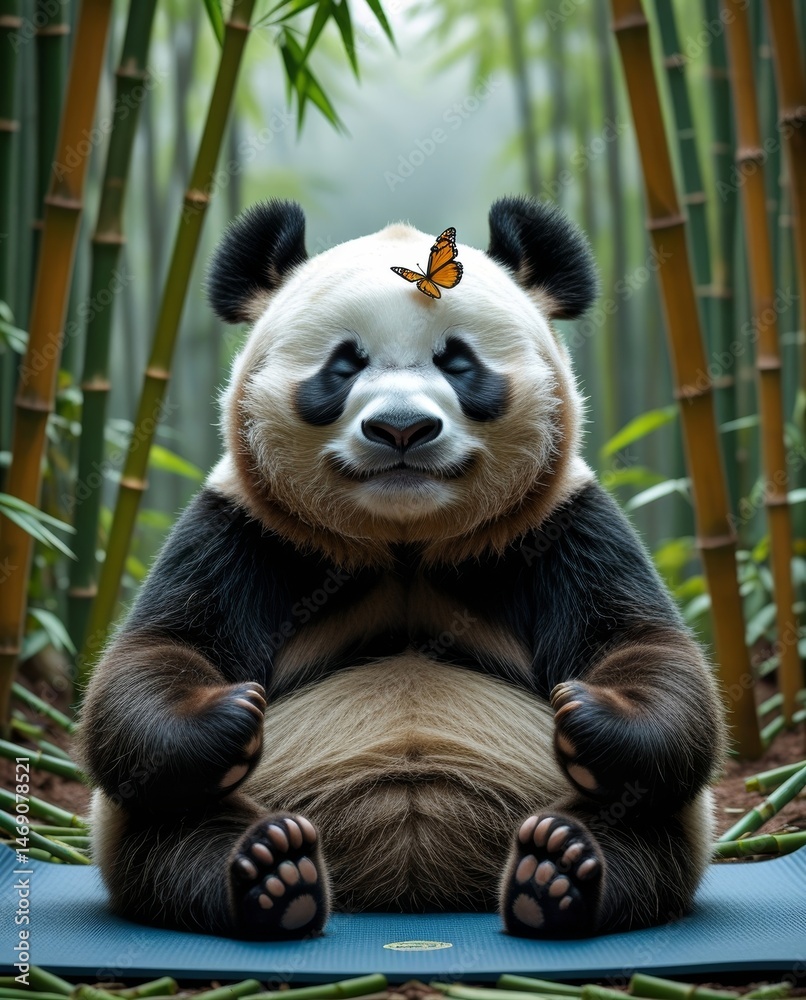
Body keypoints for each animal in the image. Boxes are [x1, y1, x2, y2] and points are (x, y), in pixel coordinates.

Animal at [77, 197, 725, 941]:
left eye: (459, 362)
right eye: (343, 365)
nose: (402, 430)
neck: (405, 541)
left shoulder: (560, 527)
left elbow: (648, 652)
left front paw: (589, 716)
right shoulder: (244, 530)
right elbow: (155, 660)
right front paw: (228, 718)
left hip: (655, 824)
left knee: (642, 838)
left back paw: (558, 872)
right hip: (152, 825)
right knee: (171, 841)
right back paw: (272, 873)